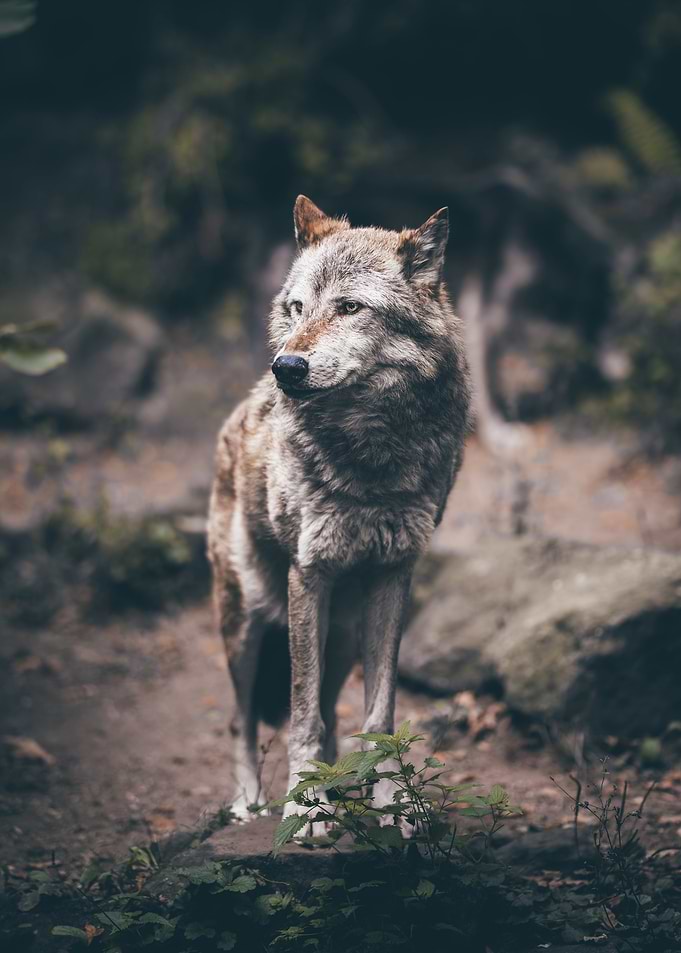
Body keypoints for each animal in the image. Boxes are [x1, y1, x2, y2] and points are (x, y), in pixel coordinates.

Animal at [207, 196, 471, 823]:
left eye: (350, 307)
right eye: (298, 307)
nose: (286, 367)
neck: (371, 454)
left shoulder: (394, 574)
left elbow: (379, 712)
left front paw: (391, 804)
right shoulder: (310, 574)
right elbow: (301, 714)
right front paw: (305, 812)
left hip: (344, 633)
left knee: (328, 712)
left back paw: (340, 788)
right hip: (249, 620)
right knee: (241, 718)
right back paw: (250, 800)